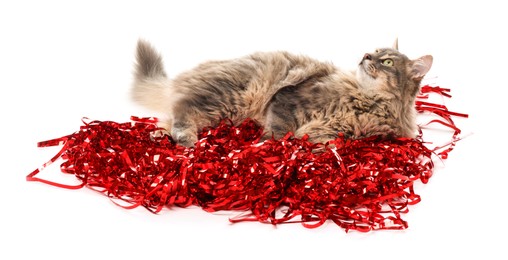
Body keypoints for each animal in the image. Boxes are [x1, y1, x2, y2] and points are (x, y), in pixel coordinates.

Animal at [131, 39, 432, 147]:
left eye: (387, 61)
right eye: (375, 51)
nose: (365, 55)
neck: (366, 100)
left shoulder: (337, 131)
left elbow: (327, 142)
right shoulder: (289, 99)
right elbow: (279, 131)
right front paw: (268, 148)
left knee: (172, 112)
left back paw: (159, 136)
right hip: (236, 97)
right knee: (184, 108)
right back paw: (185, 139)